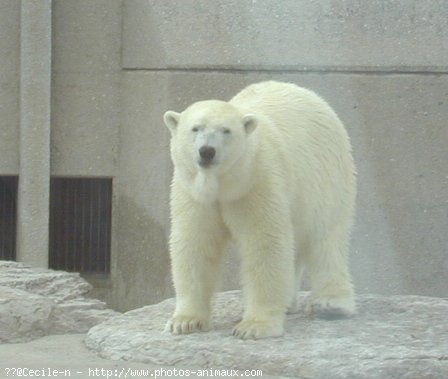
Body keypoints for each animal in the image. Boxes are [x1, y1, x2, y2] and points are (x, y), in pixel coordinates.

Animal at [163, 81, 356, 342]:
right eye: (195, 128)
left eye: (226, 131)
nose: (207, 151)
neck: (223, 185)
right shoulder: (193, 193)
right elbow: (195, 243)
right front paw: (185, 321)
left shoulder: (257, 182)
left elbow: (264, 243)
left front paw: (254, 326)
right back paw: (289, 303)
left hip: (326, 173)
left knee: (326, 236)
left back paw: (332, 304)